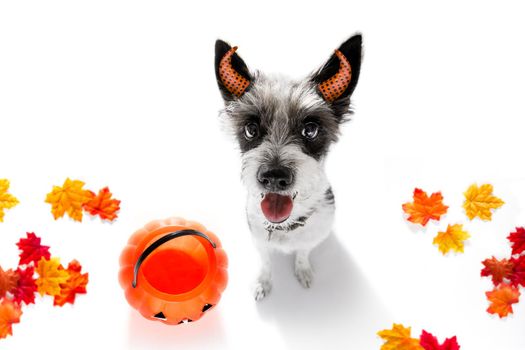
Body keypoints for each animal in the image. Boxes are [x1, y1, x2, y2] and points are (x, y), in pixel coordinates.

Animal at [213, 34, 360, 300]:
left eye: (310, 130)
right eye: (251, 129)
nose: (274, 177)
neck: (284, 225)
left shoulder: (310, 239)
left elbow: (302, 254)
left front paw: (303, 271)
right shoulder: (259, 240)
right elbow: (265, 262)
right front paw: (262, 283)